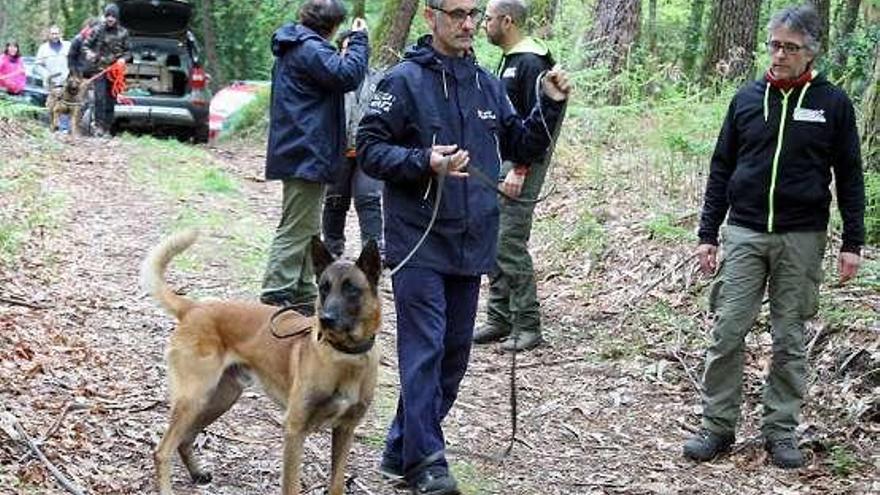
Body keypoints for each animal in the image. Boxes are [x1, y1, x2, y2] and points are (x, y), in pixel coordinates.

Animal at [139, 232, 380, 495]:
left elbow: (337, 483)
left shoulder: (345, 430)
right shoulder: (294, 430)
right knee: (162, 450)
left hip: (219, 399)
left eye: (351, 290)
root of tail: (195, 307)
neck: (344, 355)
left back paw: (197, 473)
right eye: (324, 289)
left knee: (184, 439)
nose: (325, 319)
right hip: (193, 399)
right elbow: (291, 486)